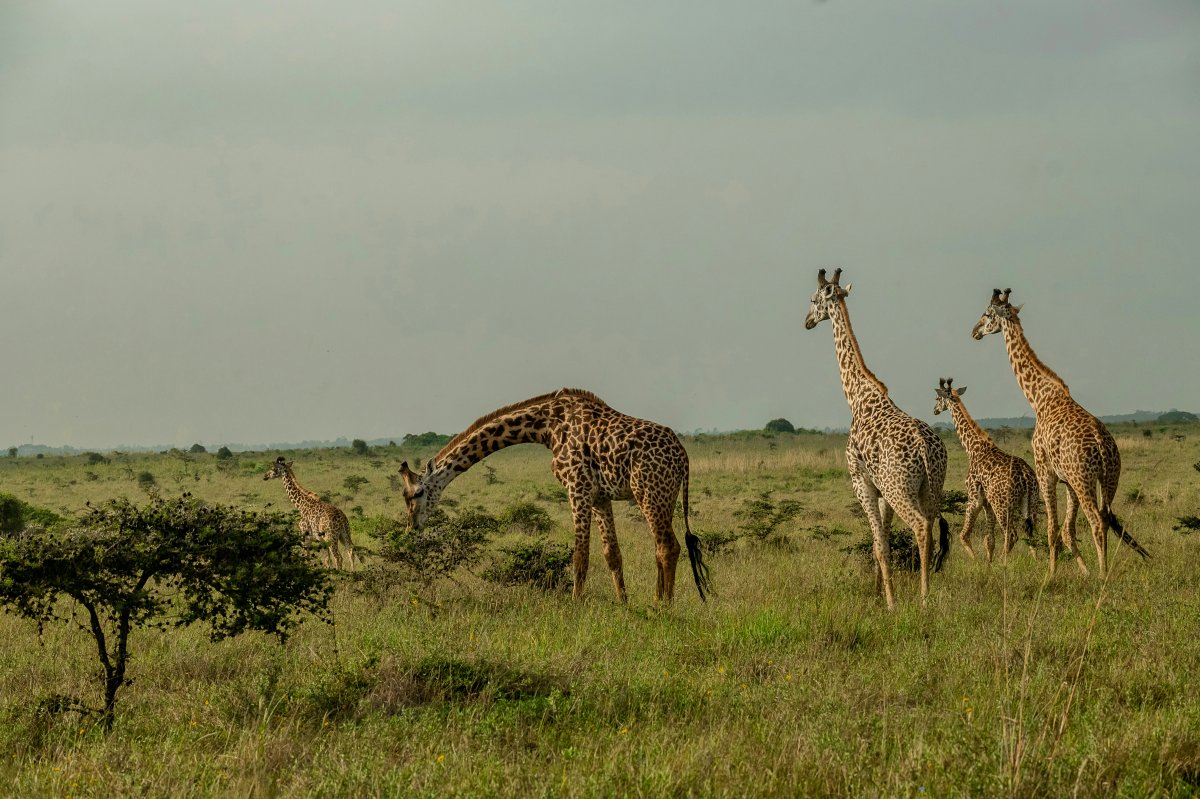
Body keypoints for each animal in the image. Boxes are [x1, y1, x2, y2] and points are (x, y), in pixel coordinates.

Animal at [397, 388, 710, 604]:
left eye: (417, 493)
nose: (411, 527)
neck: (546, 426)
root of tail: (683, 456)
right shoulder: (599, 497)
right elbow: (612, 554)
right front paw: (624, 603)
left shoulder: (577, 487)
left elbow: (580, 555)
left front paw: (575, 604)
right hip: (663, 496)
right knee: (660, 547)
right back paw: (657, 600)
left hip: (650, 492)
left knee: (668, 547)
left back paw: (664, 607)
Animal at [804, 268, 950, 610]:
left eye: (814, 300)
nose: (806, 320)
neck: (857, 397)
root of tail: (925, 448)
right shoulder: (881, 491)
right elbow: (879, 543)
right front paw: (877, 593)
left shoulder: (862, 482)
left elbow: (880, 545)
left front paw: (891, 603)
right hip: (931, 487)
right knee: (932, 528)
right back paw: (928, 590)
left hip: (900, 488)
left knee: (921, 527)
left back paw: (923, 598)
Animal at [934, 377, 1039, 562]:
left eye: (938, 398)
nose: (935, 410)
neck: (972, 448)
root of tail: (1026, 477)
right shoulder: (987, 502)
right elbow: (989, 539)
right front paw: (988, 562)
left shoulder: (974, 497)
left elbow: (963, 535)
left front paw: (976, 560)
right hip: (1030, 501)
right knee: (1030, 533)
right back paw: (1037, 562)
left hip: (1002, 504)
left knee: (1011, 534)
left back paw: (1003, 562)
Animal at [971, 288, 1149, 577]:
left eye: (987, 314)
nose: (974, 331)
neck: (1038, 398)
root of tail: (1102, 446)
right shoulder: (1067, 481)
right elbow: (1067, 529)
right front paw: (1082, 571)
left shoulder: (1045, 470)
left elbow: (1052, 527)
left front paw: (1050, 574)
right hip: (1109, 478)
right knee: (1105, 517)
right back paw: (1102, 570)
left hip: (1084, 479)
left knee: (1097, 521)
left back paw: (1103, 574)